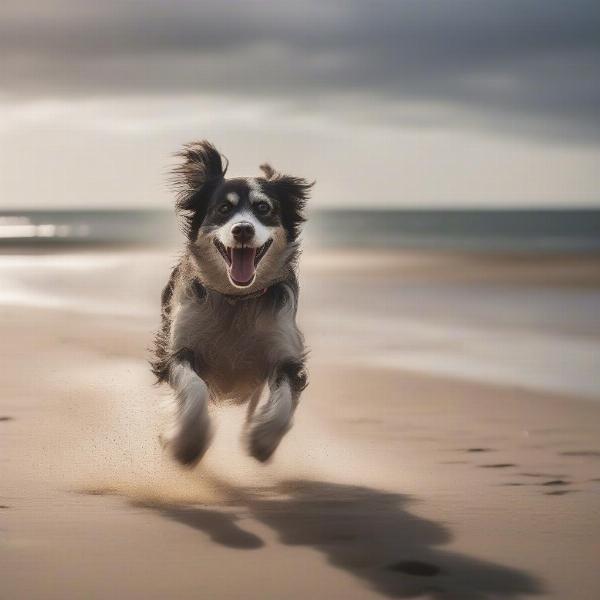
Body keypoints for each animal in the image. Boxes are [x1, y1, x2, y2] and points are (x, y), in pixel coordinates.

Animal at [151, 139, 314, 464]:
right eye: (223, 209)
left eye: (264, 208)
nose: (242, 229)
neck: (237, 301)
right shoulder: (179, 346)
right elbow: (194, 386)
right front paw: (188, 441)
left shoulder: (283, 346)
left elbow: (284, 398)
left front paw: (263, 438)